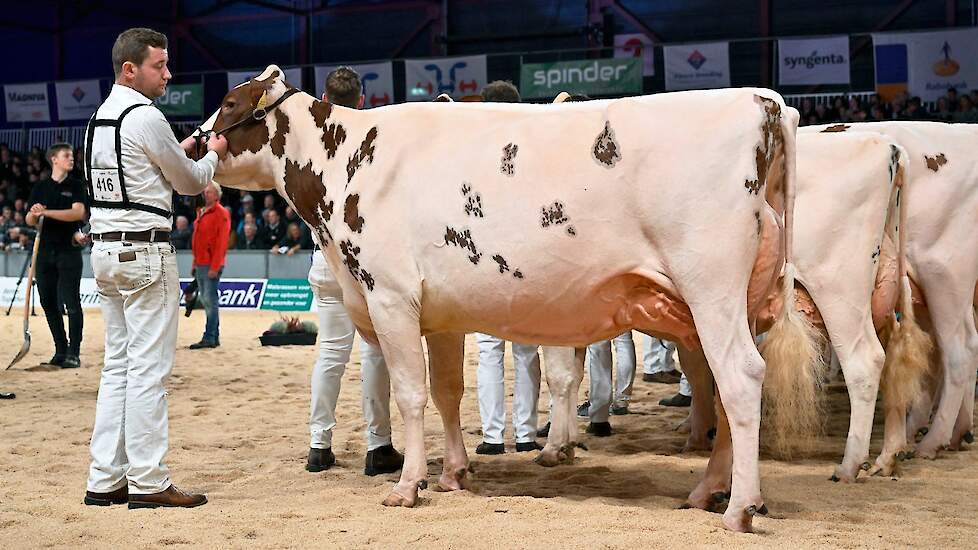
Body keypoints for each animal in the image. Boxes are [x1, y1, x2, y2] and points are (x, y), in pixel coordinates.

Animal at [198, 66, 808, 536]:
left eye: (228, 103)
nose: (191, 143)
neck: (347, 160)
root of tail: (762, 100)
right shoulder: (439, 313)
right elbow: (446, 393)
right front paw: (454, 474)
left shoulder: (390, 297)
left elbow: (410, 395)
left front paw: (408, 485)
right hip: (739, 300)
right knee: (728, 391)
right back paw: (708, 490)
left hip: (711, 287)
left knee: (740, 378)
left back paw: (738, 509)